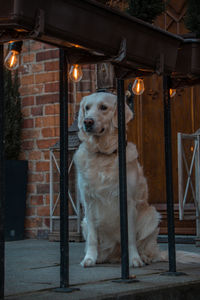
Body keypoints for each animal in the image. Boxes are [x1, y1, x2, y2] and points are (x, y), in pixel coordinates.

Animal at [74, 91, 200, 268]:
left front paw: (134, 259)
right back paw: (102, 257)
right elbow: (92, 237)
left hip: (152, 216)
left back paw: (145, 257)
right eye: (87, 108)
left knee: (149, 249)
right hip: (84, 222)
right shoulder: (89, 202)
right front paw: (89, 258)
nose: (87, 122)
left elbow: (131, 237)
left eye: (103, 107)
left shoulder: (129, 202)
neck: (103, 155)